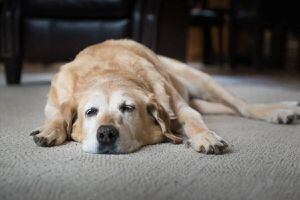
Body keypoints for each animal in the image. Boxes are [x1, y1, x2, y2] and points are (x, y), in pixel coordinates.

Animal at [29, 39, 298, 155]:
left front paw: (206, 137)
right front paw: (49, 131)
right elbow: (57, 116)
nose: (105, 133)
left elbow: (193, 122)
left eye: (128, 108)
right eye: (90, 112)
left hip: (203, 80)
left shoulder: (180, 108)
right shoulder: (55, 101)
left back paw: (280, 111)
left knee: (243, 107)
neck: (109, 72)